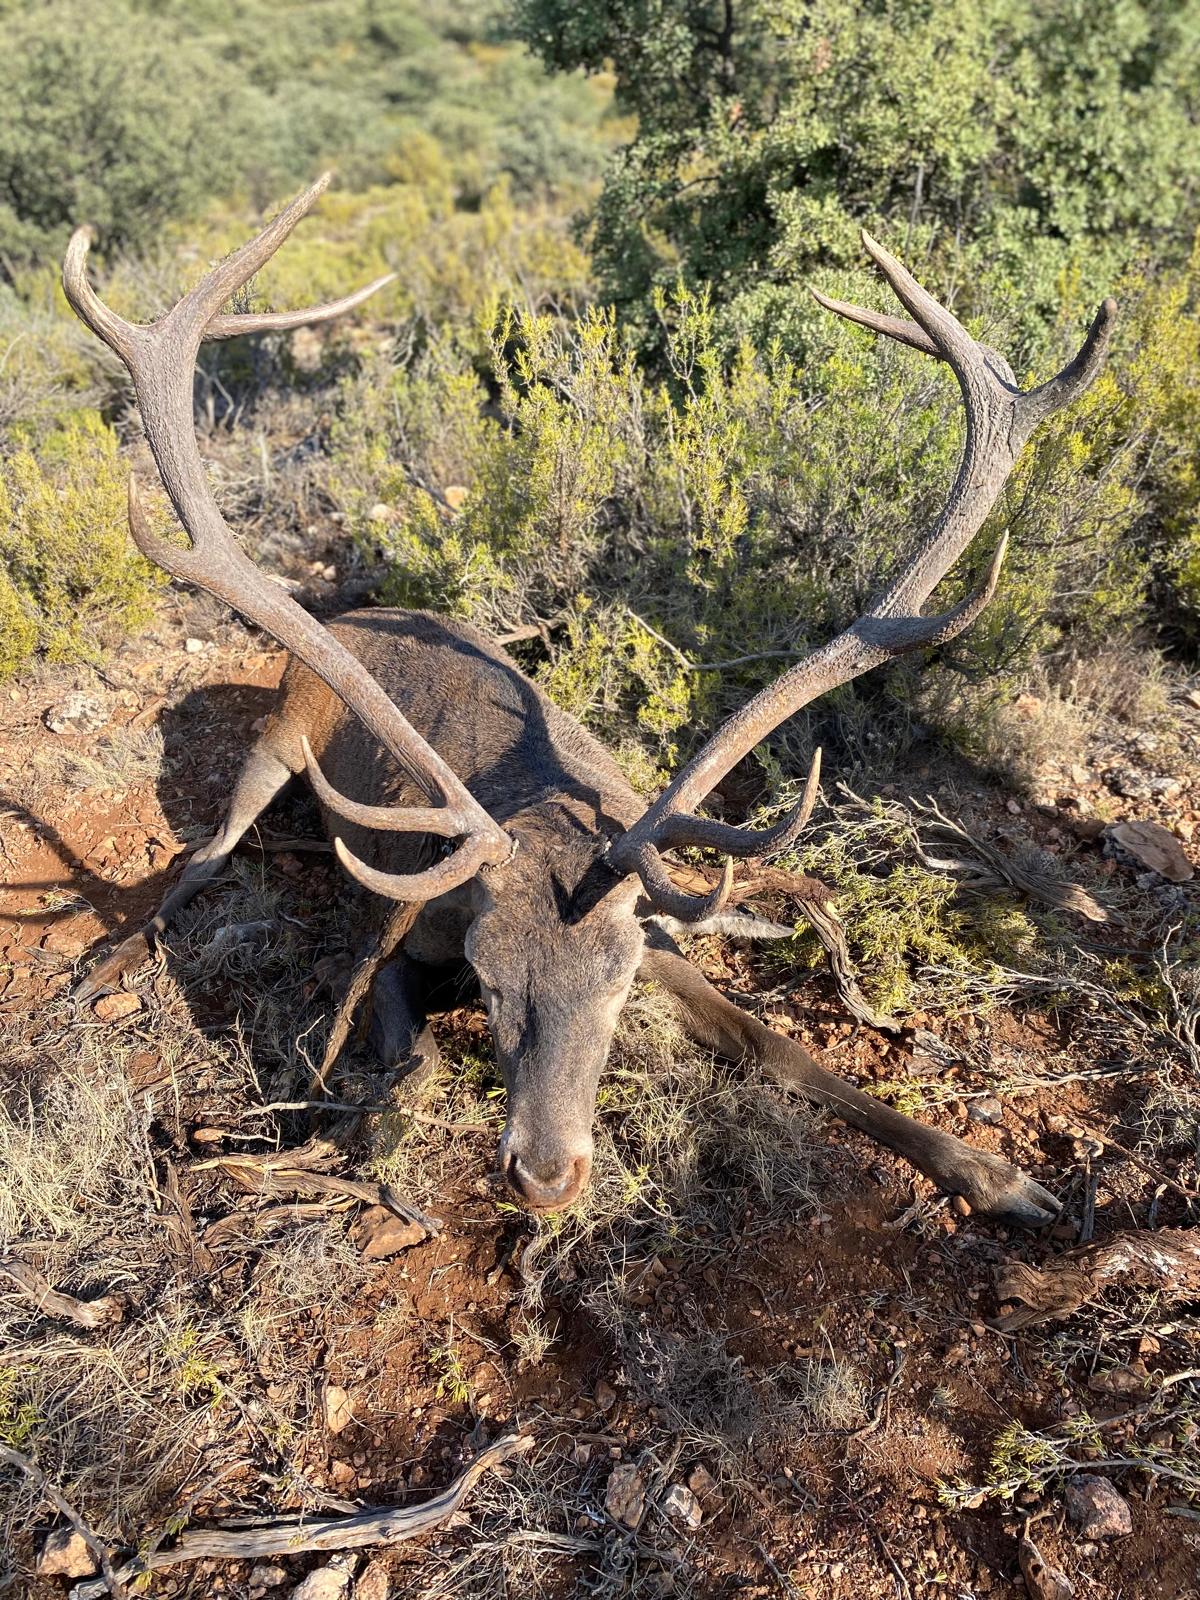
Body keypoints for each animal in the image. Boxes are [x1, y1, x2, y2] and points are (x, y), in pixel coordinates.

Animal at [63, 174, 1116, 1226]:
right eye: (488, 978)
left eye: (615, 986)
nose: (544, 1175)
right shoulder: (403, 939)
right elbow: (410, 1067)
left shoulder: (658, 930)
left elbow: (775, 1042)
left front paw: (999, 1177)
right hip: (277, 741)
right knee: (202, 854)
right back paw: (106, 960)